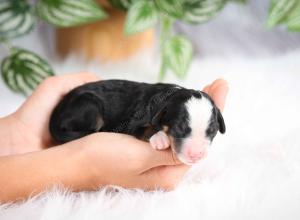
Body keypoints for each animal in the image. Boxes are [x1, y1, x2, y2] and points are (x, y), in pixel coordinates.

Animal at [49, 80, 225, 164]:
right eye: (179, 129)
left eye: (212, 131)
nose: (196, 155)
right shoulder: (133, 124)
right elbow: (147, 129)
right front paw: (160, 138)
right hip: (90, 105)